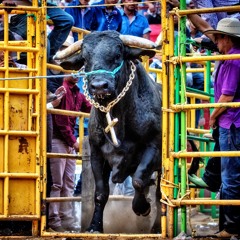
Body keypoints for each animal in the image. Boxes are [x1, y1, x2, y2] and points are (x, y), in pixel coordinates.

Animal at [54, 30, 163, 232]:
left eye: (118, 54)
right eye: (85, 58)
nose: (99, 86)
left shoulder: (153, 148)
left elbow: (138, 181)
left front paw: (142, 207)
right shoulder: (97, 155)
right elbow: (101, 192)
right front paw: (95, 226)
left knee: (158, 193)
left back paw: (156, 226)